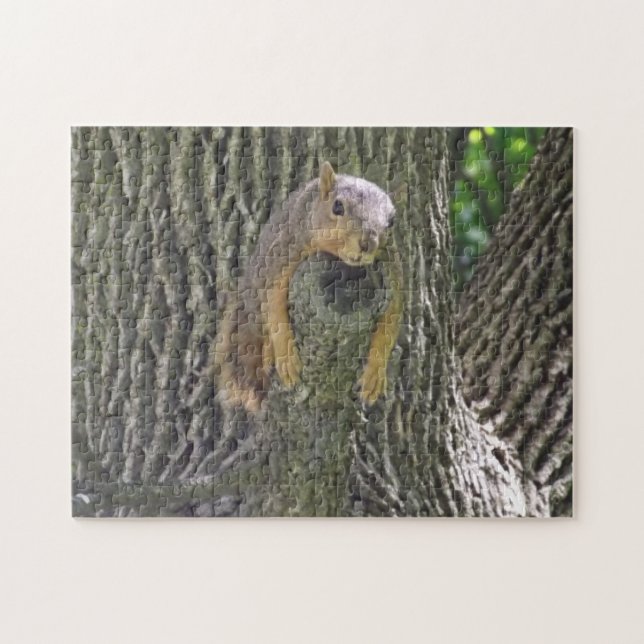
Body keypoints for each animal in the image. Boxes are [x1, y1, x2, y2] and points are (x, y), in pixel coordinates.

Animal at [214, 161, 403, 414]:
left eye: (391, 221)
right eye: (338, 207)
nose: (367, 243)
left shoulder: (392, 272)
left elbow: (391, 322)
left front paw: (375, 373)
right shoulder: (282, 253)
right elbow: (274, 305)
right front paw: (285, 354)